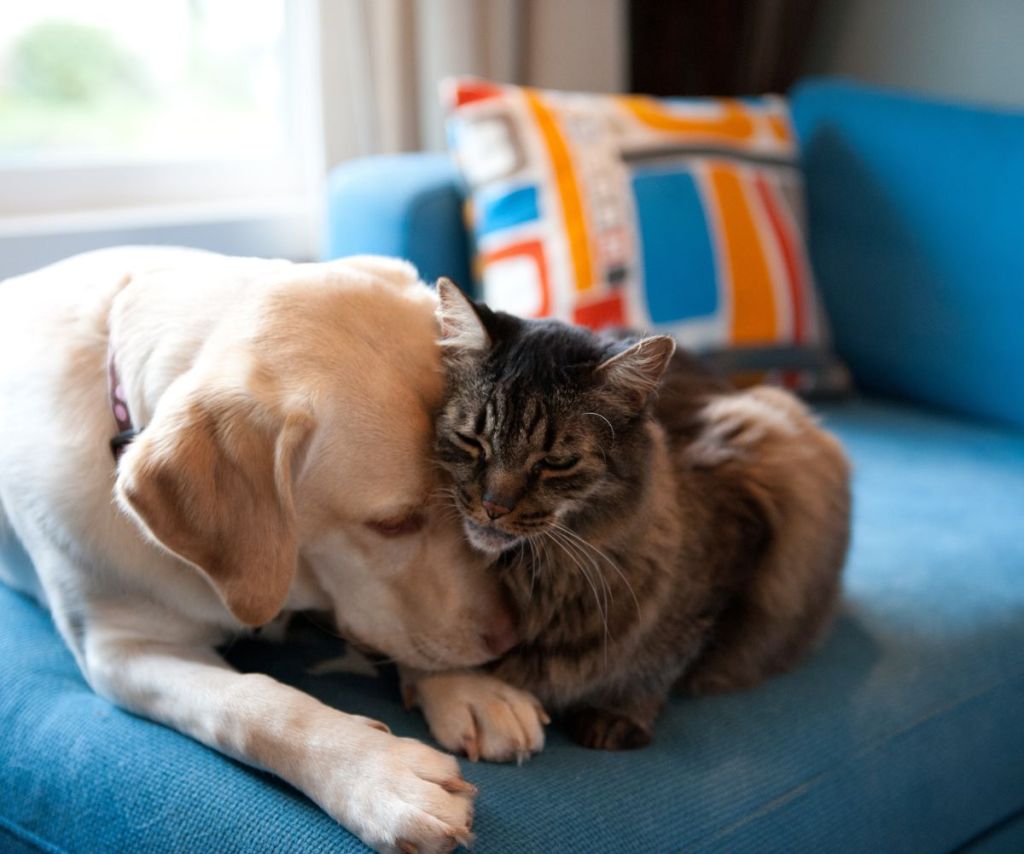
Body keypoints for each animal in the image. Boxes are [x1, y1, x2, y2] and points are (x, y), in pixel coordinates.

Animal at [0, 249, 528, 851]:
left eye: (467, 498)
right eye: (393, 524)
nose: (512, 636)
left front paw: (471, 690)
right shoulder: (118, 653)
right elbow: (251, 705)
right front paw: (377, 775)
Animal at [411, 280, 851, 753]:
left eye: (555, 462)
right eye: (472, 441)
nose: (494, 506)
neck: (538, 578)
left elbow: (665, 655)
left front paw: (619, 712)